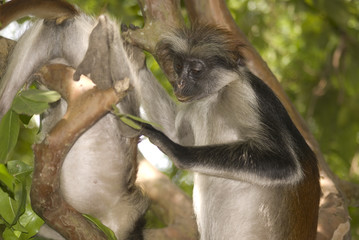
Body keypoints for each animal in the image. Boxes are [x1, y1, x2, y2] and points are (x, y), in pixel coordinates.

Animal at [129, 24, 320, 240]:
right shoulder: (196, 102)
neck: (215, 96)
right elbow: (176, 134)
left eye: (196, 70)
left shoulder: (245, 93)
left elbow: (284, 164)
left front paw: (173, 148)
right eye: (178, 67)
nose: (180, 84)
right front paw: (134, 58)